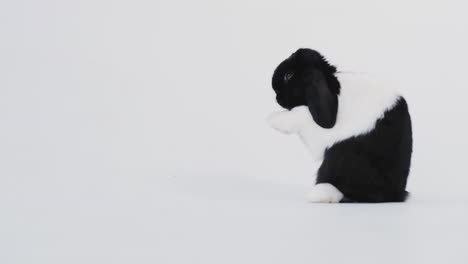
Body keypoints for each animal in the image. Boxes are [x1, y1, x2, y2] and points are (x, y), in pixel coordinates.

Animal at [268, 48, 412, 203]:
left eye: (289, 75)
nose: (276, 96)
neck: (332, 84)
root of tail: (394, 196)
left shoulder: (318, 134)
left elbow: (300, 112)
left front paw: (272, 119)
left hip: (341, 156)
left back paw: (319, 194)